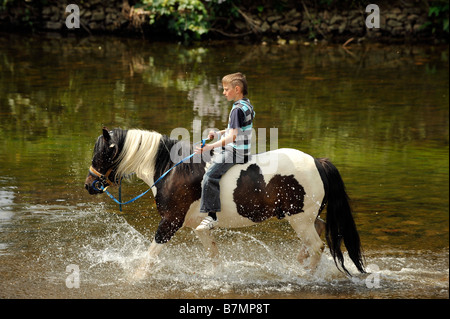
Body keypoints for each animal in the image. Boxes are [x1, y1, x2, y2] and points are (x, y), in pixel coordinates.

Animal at [85, 129, 366, 278]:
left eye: (102, 153)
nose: (89, 185)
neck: (172, 170)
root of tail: (318, 161)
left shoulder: (170, 222)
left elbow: (151, 254)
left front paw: (135, 278)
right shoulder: (196, 225)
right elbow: (213, 254)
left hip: (299, 219)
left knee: (317, 245)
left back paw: (305, 276)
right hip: (303, 218)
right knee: (319, 231)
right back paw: (300, 261)